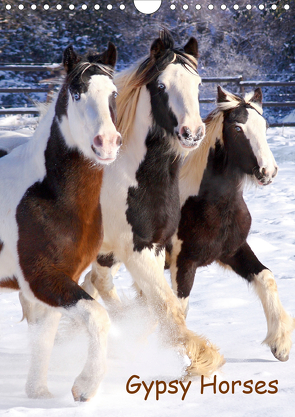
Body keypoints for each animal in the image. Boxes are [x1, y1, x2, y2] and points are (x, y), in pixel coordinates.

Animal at [0, 42, 121, 400]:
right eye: (77, 93)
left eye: (113, 92)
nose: (106, 143)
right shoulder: (43, 278)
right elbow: (97, 316)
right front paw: (85, 386)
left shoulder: (58, 279)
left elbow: (44, 339)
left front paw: (39, 395)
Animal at [81, 28, 224, 374]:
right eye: (161, 86)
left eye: (198, 83)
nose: (192, 132)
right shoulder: (135, 249)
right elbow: (166, 305)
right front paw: (199, 357)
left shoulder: (153, 247)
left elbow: (158, 305)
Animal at [168, 87, 294, 360]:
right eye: (237, 128)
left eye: (265, 125)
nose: (268, 171)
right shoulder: (183, 262)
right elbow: (178, 309)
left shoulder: (232, 251)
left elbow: (266, 277)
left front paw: (280, 344)